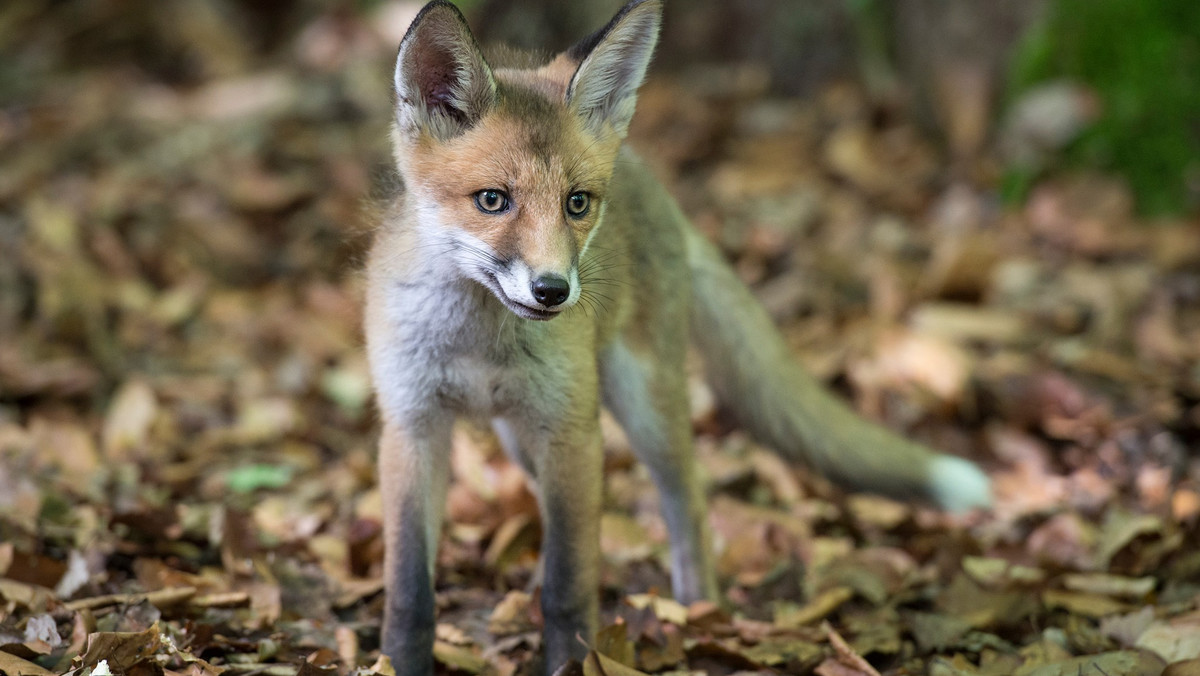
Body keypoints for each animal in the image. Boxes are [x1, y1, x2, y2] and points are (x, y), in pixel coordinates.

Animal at [367, 1, 993, 672]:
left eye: (577, 203)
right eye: (492, 200)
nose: (553, 291)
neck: (477, 344)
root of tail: (656, 186)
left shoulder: (570, 431)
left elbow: (569, 583)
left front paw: (570, 660)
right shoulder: (413, 426)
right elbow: (409, 588)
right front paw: (398, 662)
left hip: (637, 410)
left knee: (686, 498)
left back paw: (700, 614)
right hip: (526, 437)